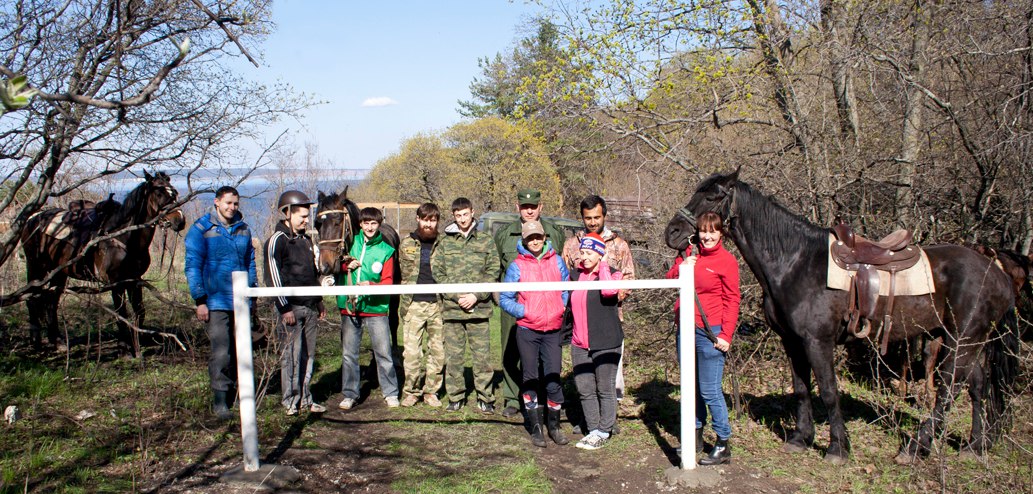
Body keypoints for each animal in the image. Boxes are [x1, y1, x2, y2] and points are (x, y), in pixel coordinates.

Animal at [20, 171, 185, 357]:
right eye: (158, 193)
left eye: (174, 192)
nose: (180, 220)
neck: (125, 237)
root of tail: (32, 219)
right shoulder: (116, 282)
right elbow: (121, 313)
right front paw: (124, 348)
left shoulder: (135, 280)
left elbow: (139, 312)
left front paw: (137, 346)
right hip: (36, 267)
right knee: (32, 299)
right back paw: (36, 342)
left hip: (59, 273)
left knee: (51, 302)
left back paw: (58, 341)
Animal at [665, 168, 1020, 462]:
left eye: (713, 197)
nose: (673, 232)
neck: (795, 262)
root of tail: (997, 272)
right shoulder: (793, 342)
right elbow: (802, 389)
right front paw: (801, 439)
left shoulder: (818, 342)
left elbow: (828, 391)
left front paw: (837, 448)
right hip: (964, 341)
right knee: (976, 387)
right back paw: (974, 446)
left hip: (963, 341)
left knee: (948, 391)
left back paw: (916, 447)